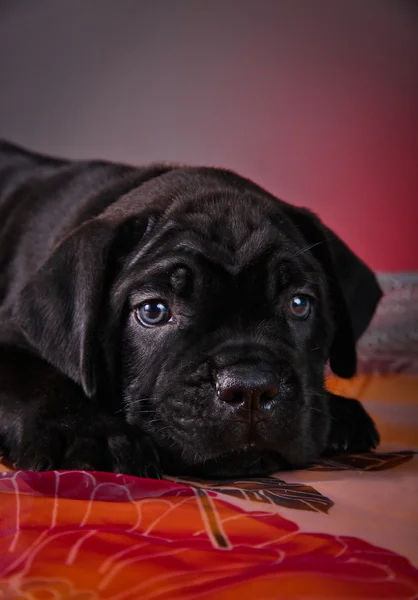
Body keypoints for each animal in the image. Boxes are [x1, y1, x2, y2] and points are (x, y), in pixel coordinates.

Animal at [0, 141, 382, 478]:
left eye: (299, 304)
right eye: (154, 311)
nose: (250, 387)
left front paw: (340, 413)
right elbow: (35, 377)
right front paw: (88, 433)